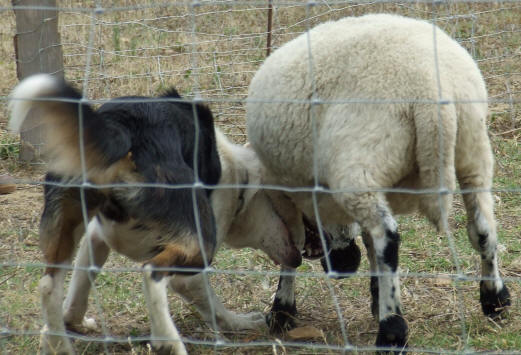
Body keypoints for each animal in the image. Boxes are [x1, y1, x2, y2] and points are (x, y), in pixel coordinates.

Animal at [246, 13, 510, 354]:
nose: (343, 266)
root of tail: (429, 88)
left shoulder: (284, 192)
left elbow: (290, 248)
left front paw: (282, 311)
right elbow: (366, 241)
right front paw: (375, 295)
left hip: (358, 163)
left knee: (388, 238)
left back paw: (392, 331)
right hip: (473, 152)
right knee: (482, 228)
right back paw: (495, 299)